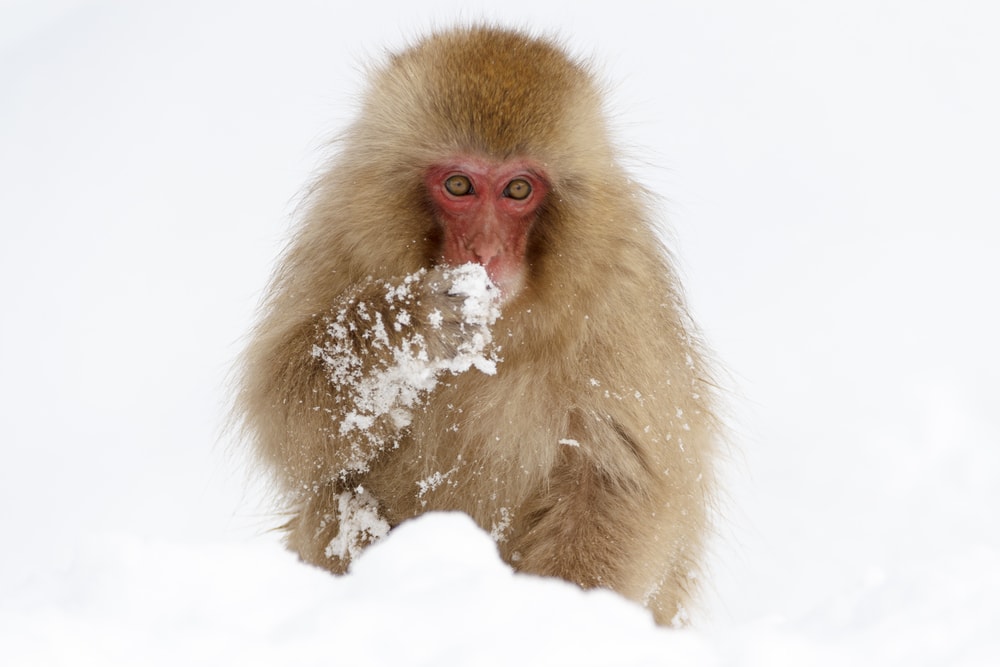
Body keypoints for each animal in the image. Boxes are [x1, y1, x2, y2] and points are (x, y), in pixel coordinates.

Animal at [235, 26, 718, 627]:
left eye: (518, 190)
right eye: (460, 185)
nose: (485, 252)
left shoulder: (620, 291)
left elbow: (616, 478)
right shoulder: (339, 238)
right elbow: (288, 415)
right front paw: (412, 327)